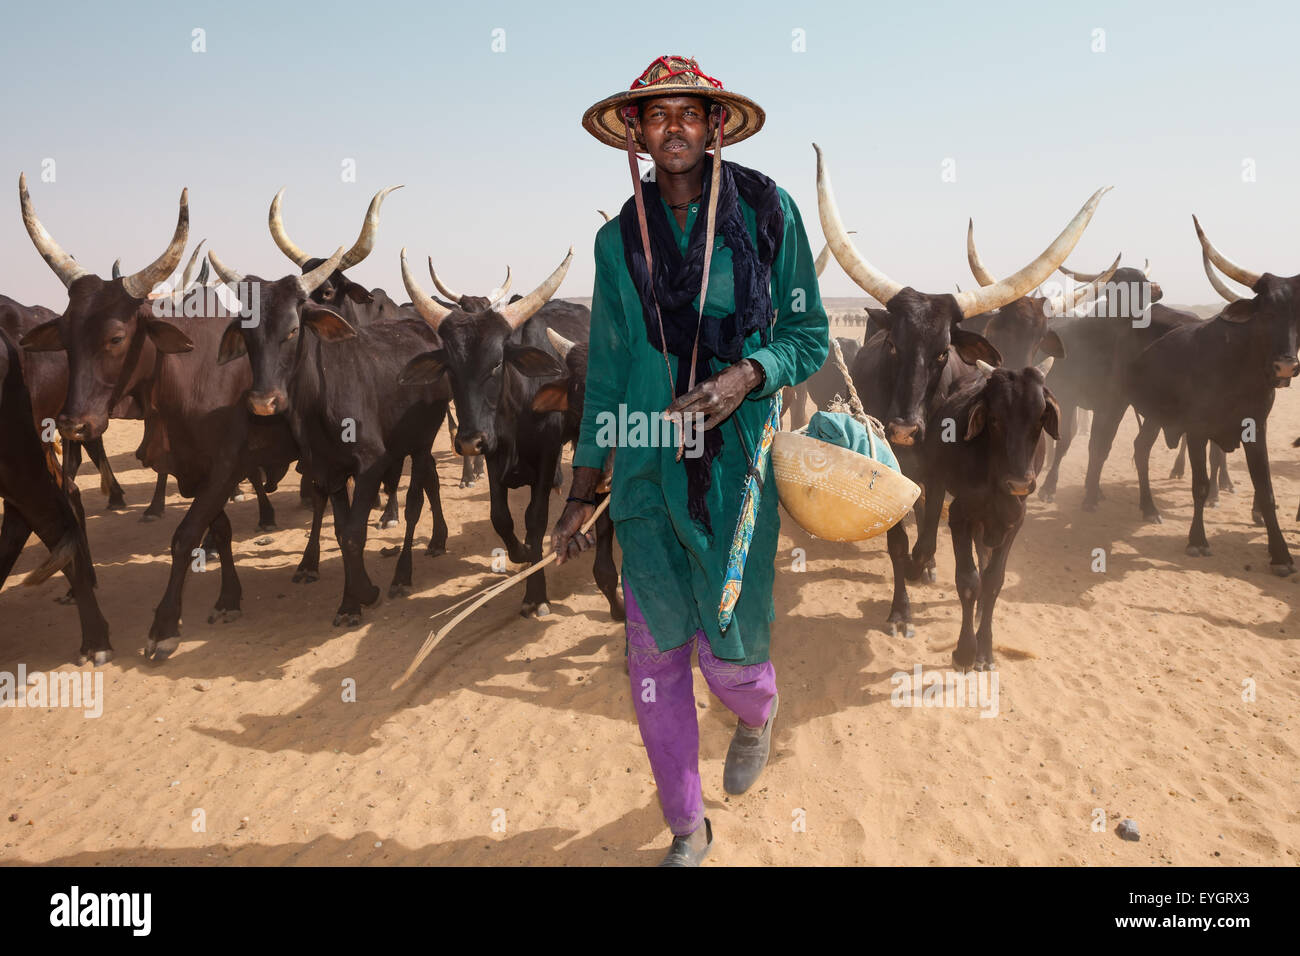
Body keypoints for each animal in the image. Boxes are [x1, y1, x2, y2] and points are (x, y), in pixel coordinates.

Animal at [816, 143, 1112, 634]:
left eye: (942, 352)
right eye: (894, 344)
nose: (903, 429)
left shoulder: (939, 477)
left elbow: (929, 530)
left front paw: (925, 566)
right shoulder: (891, 468)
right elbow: (899, 542)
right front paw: (900, 610)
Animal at [1128, 218, 1300, 574]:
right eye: (1266, 313)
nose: (1286, 366)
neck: (1238, 370)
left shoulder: (1256, 428)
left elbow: (1265, 489)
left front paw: (1280, 554)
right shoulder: (1197, 430)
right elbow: (1201, 484)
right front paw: (1197, 540)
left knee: (1142, 448)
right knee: (1139, 450)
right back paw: (1149, 508)